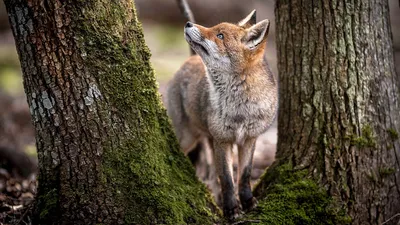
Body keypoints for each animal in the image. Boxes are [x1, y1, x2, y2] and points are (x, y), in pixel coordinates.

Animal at [166, 10, 278, 220]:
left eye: (220, 36)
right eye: (214, 28)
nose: (188, 23)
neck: (240, 109)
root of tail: (189, 60)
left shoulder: (249, 139)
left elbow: (244, 176)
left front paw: (247, 202)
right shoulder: (222, 140)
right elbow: (226, 179)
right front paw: (231, 209)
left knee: (212, 176)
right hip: (187, 138)